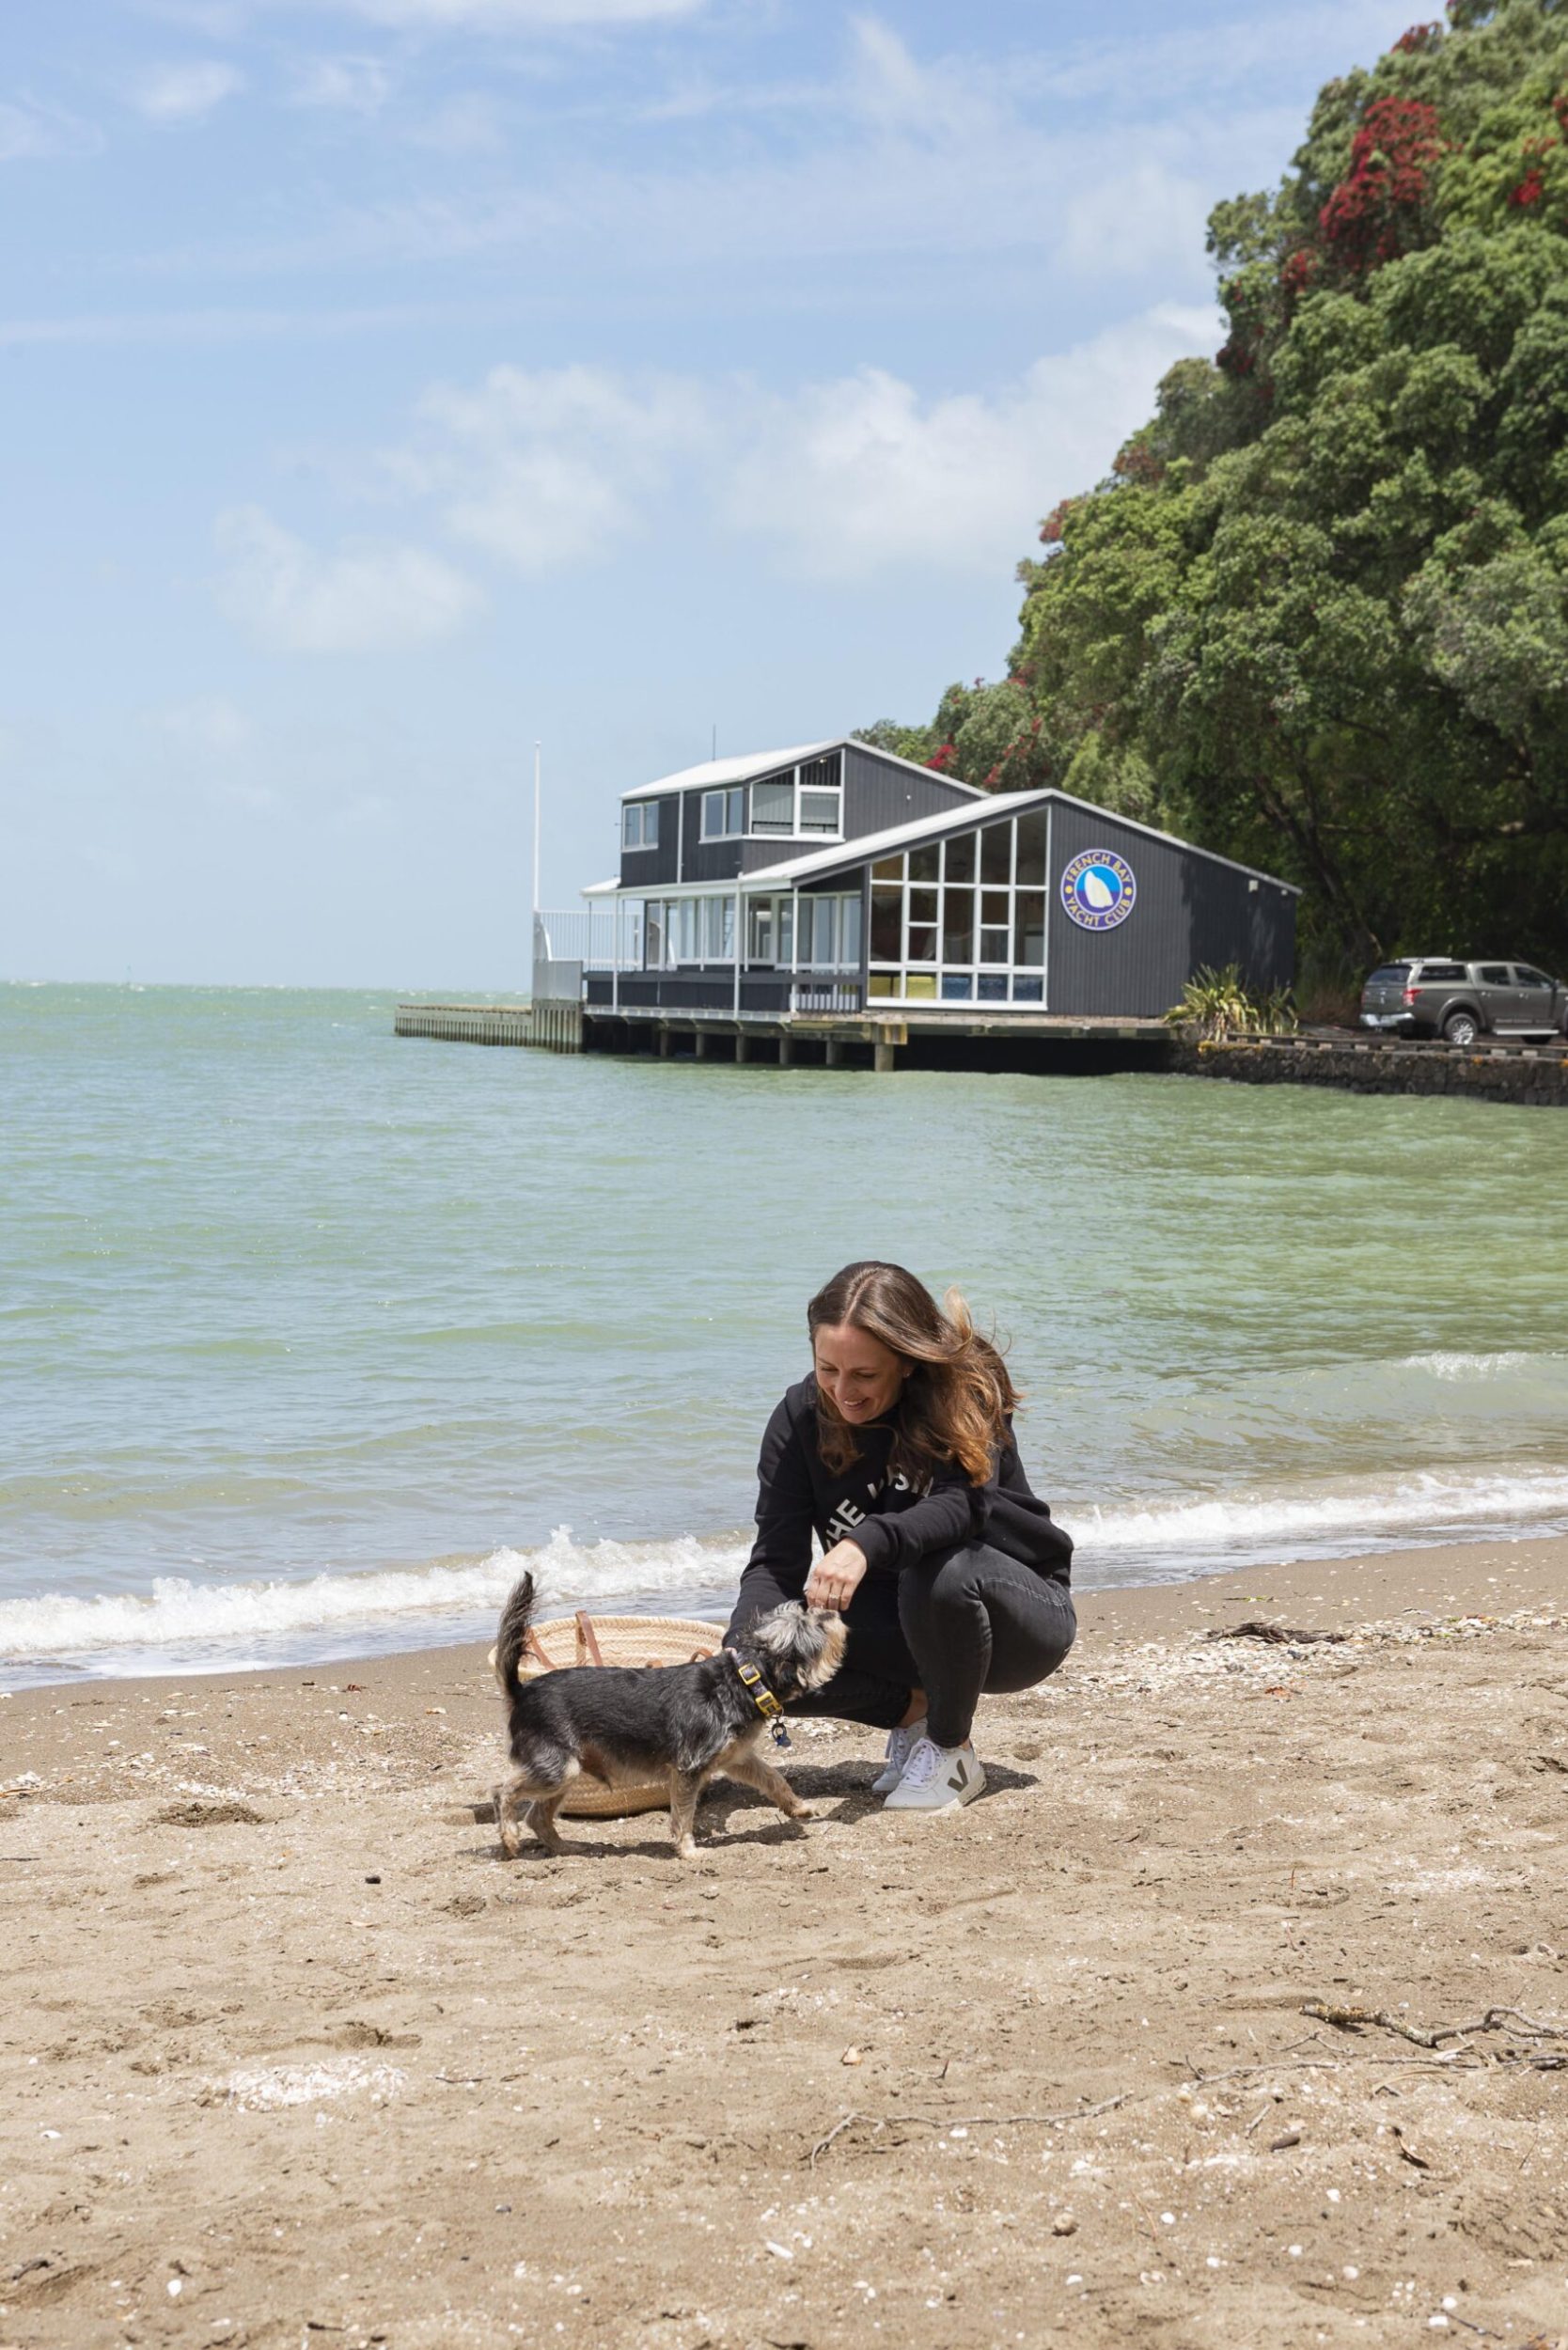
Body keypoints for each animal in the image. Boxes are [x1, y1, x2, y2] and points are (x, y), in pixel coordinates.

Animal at [494, 1579, 846, 1852]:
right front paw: (689, 1851)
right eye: (815, 1626)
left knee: (537, 1816)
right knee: (503, 1790)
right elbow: (684, 1813)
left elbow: (773, 1778)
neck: (745, 1679)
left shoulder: (737, 1758)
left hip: (566, 1771)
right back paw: (509, 1838)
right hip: (559, 1767)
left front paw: (798, 1807)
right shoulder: (689, 1768)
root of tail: (521, 1691)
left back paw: (565, 1848)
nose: (831, 1610)